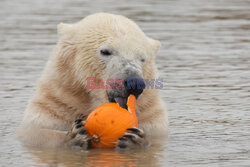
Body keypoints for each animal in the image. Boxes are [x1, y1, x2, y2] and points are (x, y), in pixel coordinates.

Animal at [17, 12, 168, 149]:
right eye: (105, 51)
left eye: (142, 58)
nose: (134, 83)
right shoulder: (57, 103)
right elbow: (35, 133)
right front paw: (73, 136)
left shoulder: (150, 116)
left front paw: (135, 139)